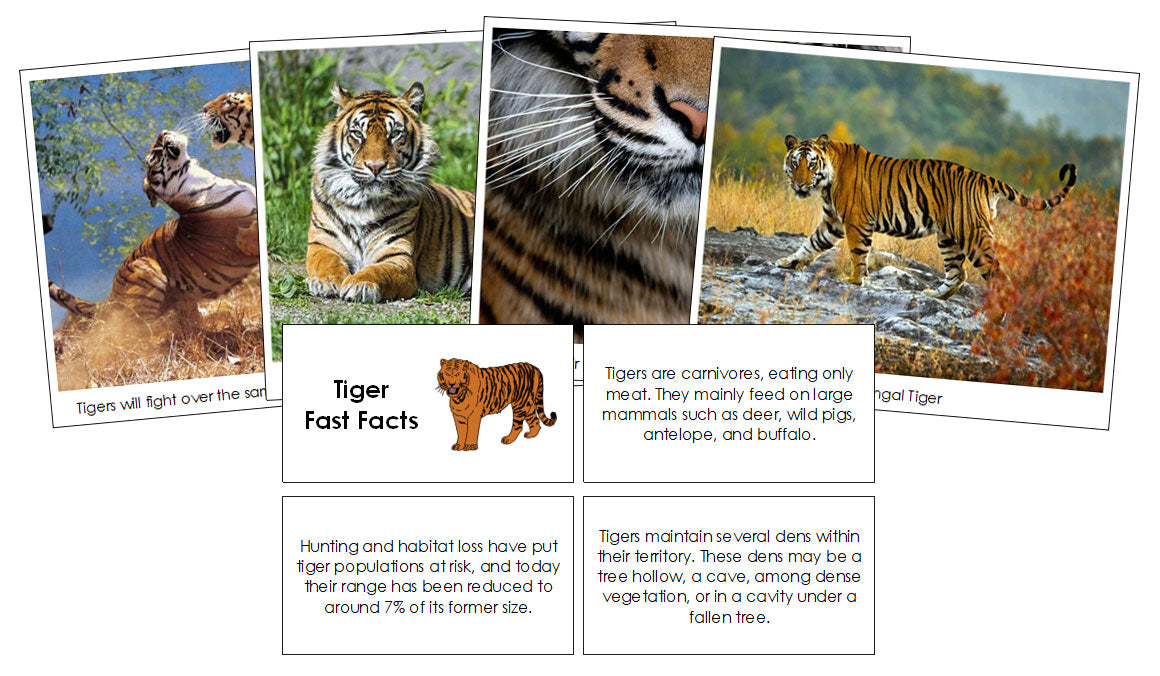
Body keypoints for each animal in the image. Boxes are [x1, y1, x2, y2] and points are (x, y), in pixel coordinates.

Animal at [305, 82, 474, 303]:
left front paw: (361, 284)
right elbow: (325, 261)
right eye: (358, 134)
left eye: (394, 134)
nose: (375, 167)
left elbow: (378, 271)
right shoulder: (322, 243)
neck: (364, 204)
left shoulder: (398, 256)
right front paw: (325, 281)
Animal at [778, 134, 1077, 300]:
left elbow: (857, 254)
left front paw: (854, 281)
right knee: (958, 273)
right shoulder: (834, 222)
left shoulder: (856, 222)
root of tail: (984, 177)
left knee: (996, 275)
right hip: (948, 237)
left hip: (973, 235)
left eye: (811, 164)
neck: (826, 183)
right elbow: (811, 243)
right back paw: (935, 295)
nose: (800, 185)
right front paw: (788, 262)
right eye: (795, 163)